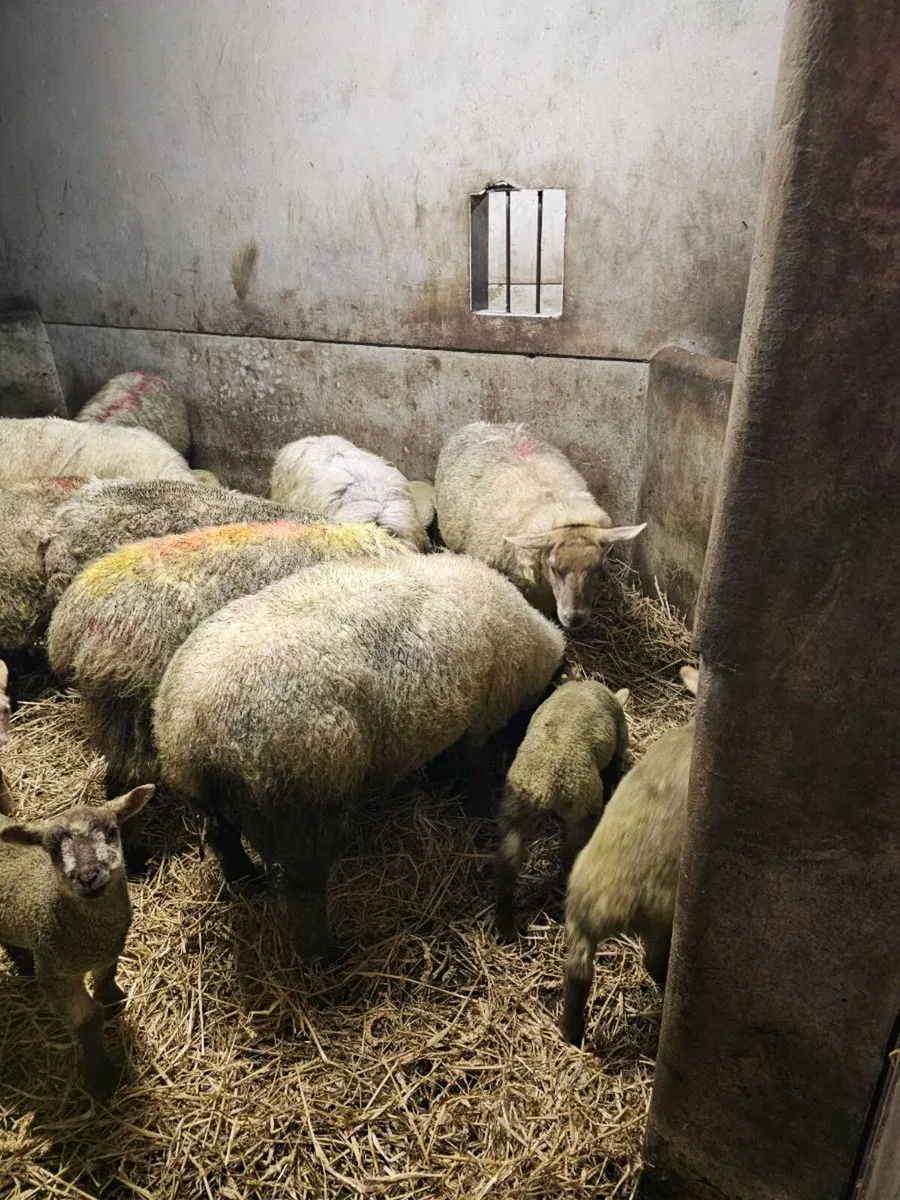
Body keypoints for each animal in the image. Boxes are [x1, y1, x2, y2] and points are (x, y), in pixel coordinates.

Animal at [0, 783, 154, 1099]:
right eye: (53, 850)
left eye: (112, 831)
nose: (87, 876)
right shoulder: (55, 974)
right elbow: (87, 1019)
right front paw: (100, 1078)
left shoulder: (109, 950)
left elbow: (107, 976)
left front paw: (113, 1000)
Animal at [153, 553, 566, 958]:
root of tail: (195, 733)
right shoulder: (480, 721)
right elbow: (474, 774)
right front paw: (480, 809)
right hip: (303, 809)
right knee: (303, 893)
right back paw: (328, 957)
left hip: (211, 801)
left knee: (221, 838)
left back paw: (245, 881)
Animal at [494, 680, 630, 940]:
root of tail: (544, 787)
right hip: (583, 808)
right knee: (569, 855)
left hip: (514, 810)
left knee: (507, 864)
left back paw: (504, 923)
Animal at [560, 666, 699, 1046]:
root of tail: (607, 902)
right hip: (662, 920)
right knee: (653, 962)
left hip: (578, 918)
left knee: (577, 973)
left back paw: (571, 1034)